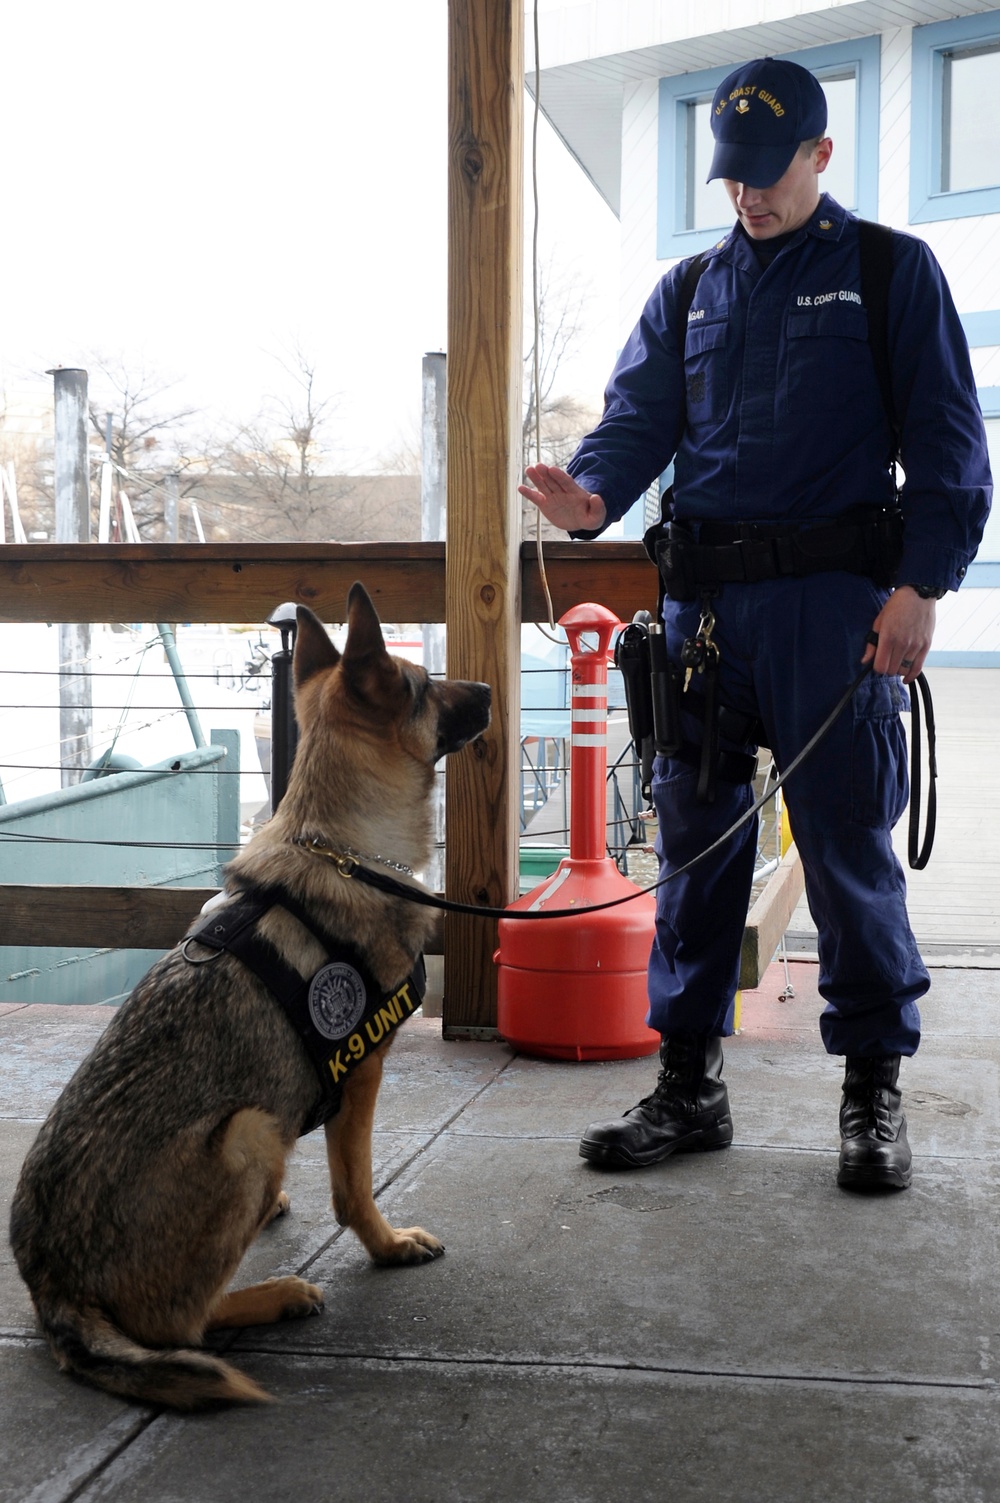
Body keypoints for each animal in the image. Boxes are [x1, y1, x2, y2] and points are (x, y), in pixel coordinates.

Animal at [7, 583, 490, 1406]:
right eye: (425, 686)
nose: (488, 691)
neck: (340, 843)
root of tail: (55, 1295)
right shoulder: (362, 1076)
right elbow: (354, 1189)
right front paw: (386, 1245)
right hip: (251, 1132)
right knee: (183, 1322)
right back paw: (275, 1294)